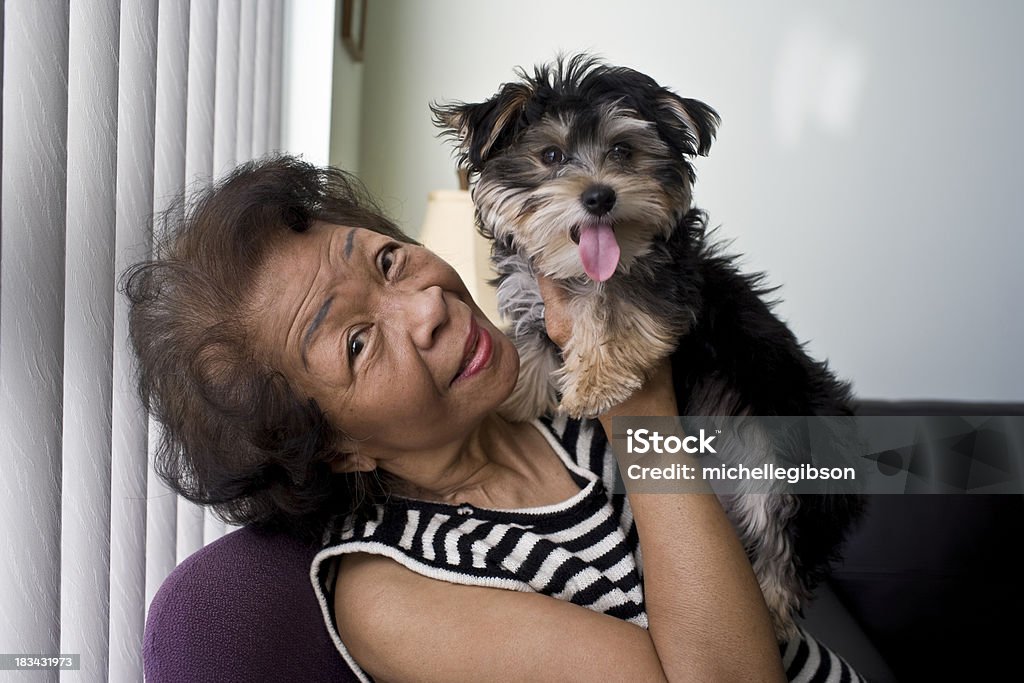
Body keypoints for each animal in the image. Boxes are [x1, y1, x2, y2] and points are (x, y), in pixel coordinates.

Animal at [432, 56, 864, 638]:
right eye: (551, 156)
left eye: (623, 151)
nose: (599, 196)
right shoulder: (532, 292)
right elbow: (531, 350)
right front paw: (514, 399)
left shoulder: (664, 280)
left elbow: (611, 303)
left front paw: (595, 384)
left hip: (784, 458)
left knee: (782, 535)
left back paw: (772, 612)